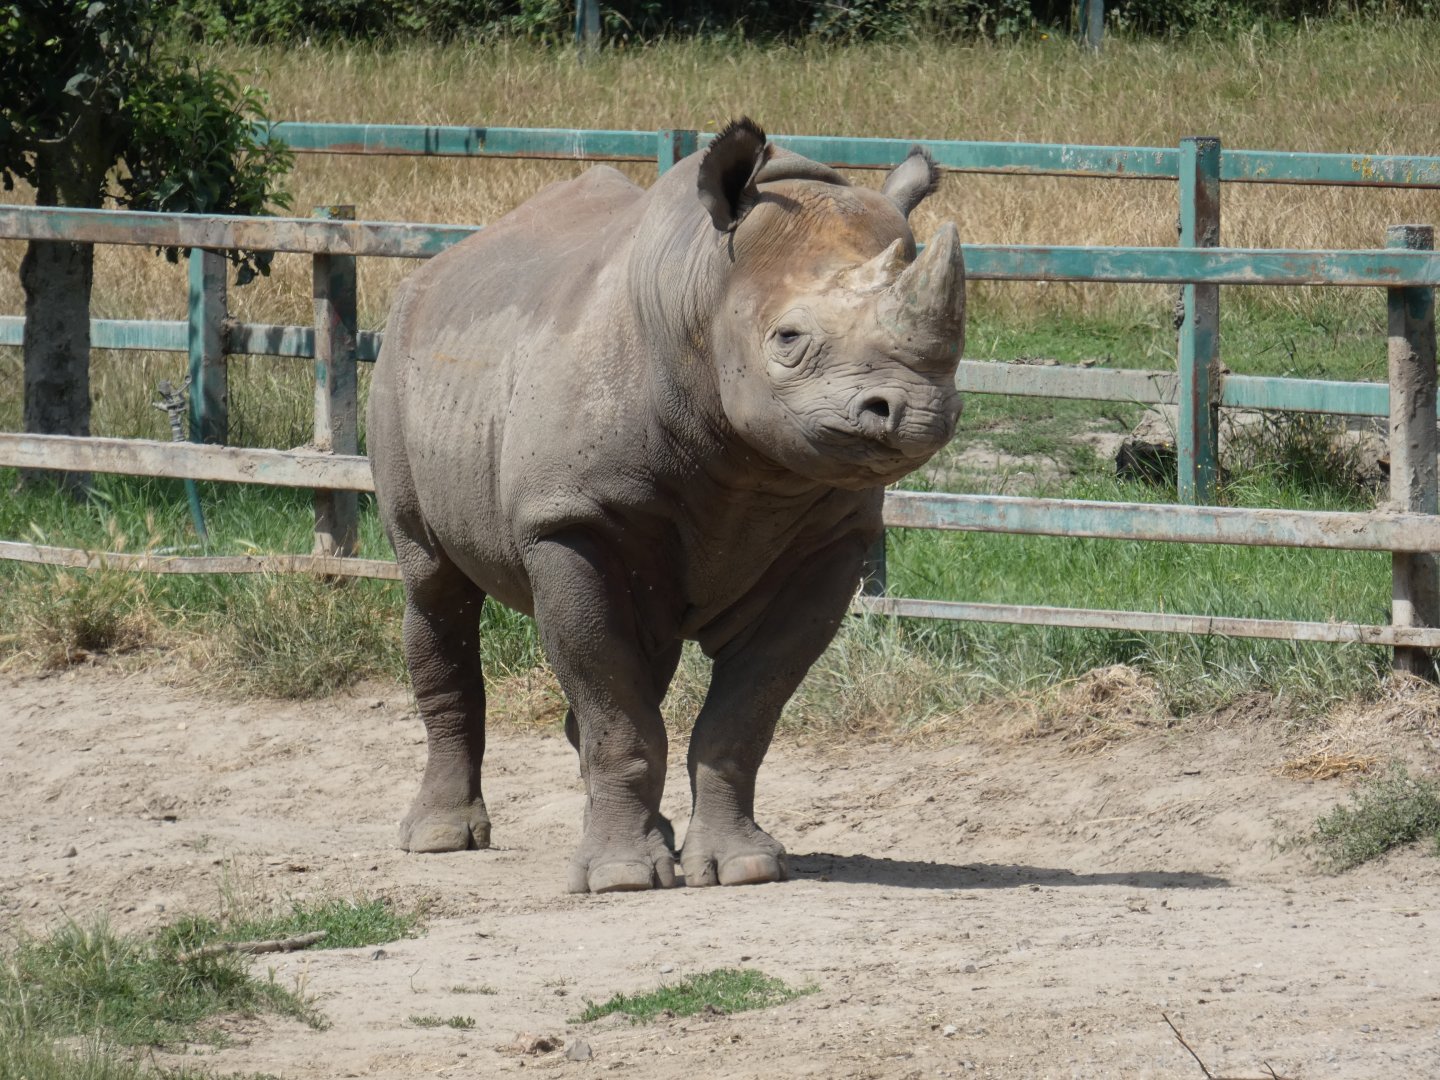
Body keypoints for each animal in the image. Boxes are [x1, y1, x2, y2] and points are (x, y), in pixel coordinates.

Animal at [367, 118, 965, 894]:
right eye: (789, 340)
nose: (917, 412)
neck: (703, 286)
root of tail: (435, 268)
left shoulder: (829, 539)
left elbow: (743, 712)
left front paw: (742, 867)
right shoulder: (568, 521)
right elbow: (616, 707)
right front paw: (622, 879)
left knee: (640, 658)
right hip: (399, 364)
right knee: (435, 585)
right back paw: (441, 839)